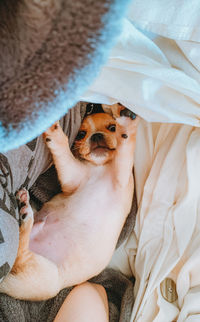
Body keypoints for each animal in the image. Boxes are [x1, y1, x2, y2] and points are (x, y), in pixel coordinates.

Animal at [0, 104, 138, 300]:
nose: (96, 136)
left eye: (112, 128)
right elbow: (64, 153)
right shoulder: (73, 177)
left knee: (21, 255)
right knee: (20, 253)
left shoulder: (120, 173)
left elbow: (126, 145)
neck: (101, 166)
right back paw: (25, 211)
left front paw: (127, 121)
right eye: (81, 134)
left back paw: (25, 212)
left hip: (44, 275)